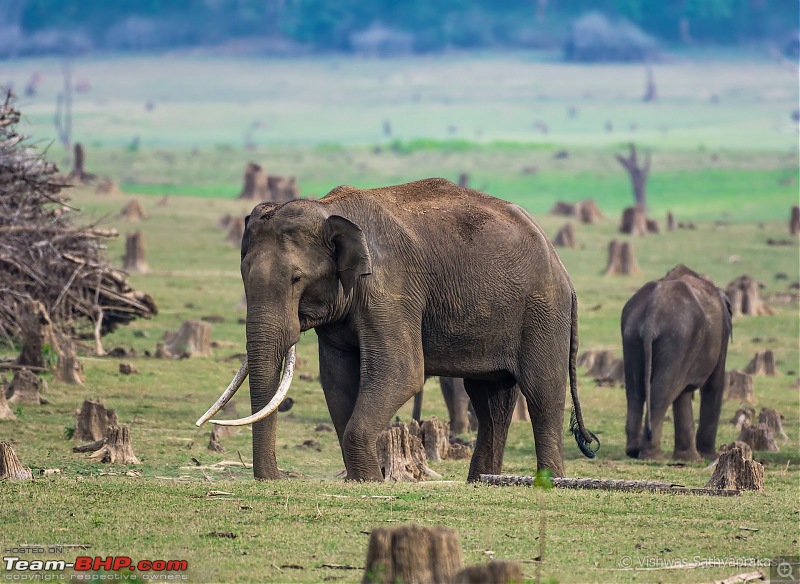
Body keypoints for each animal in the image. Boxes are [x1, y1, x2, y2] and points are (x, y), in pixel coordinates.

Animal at [198, 179, 600, 484]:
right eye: (243, 273)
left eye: (297, 279)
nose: (275, 478)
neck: (328, 208)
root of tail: (563, 270)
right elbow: (337, 379)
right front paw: (363, 479)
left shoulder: (390, 289)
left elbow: (401, 371)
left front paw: (369, 481)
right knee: (491, 401)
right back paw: (482, 482)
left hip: (543, 313)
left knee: (542, 393)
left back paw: (548, 482)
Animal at [620, 264, 736, 460]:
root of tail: (653, 311)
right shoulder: (721, 336)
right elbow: (714, 384)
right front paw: (708, 457)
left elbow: (683, 393)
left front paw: (688, 458)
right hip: (679, 336)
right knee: (662, 390)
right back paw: (653, 456)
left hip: (631, 335)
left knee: (636, 391)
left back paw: (633, 450)